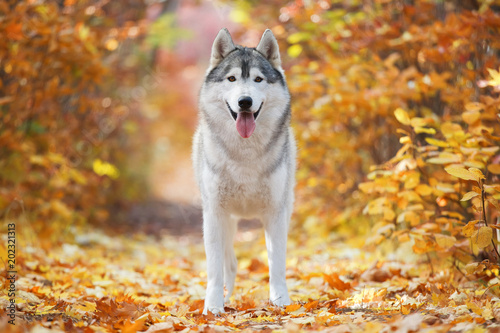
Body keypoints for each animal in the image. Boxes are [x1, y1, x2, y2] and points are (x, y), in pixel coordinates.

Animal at [190, 28, 292, 314]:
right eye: (232, 78)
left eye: (258, 79)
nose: (244, 101)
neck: (245, 155)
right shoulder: (214, 213)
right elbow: (214, 269)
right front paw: (213, 308)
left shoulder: (276, 213)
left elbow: (277, 264)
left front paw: (281, 302)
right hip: (224, 221)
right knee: (230, 262)